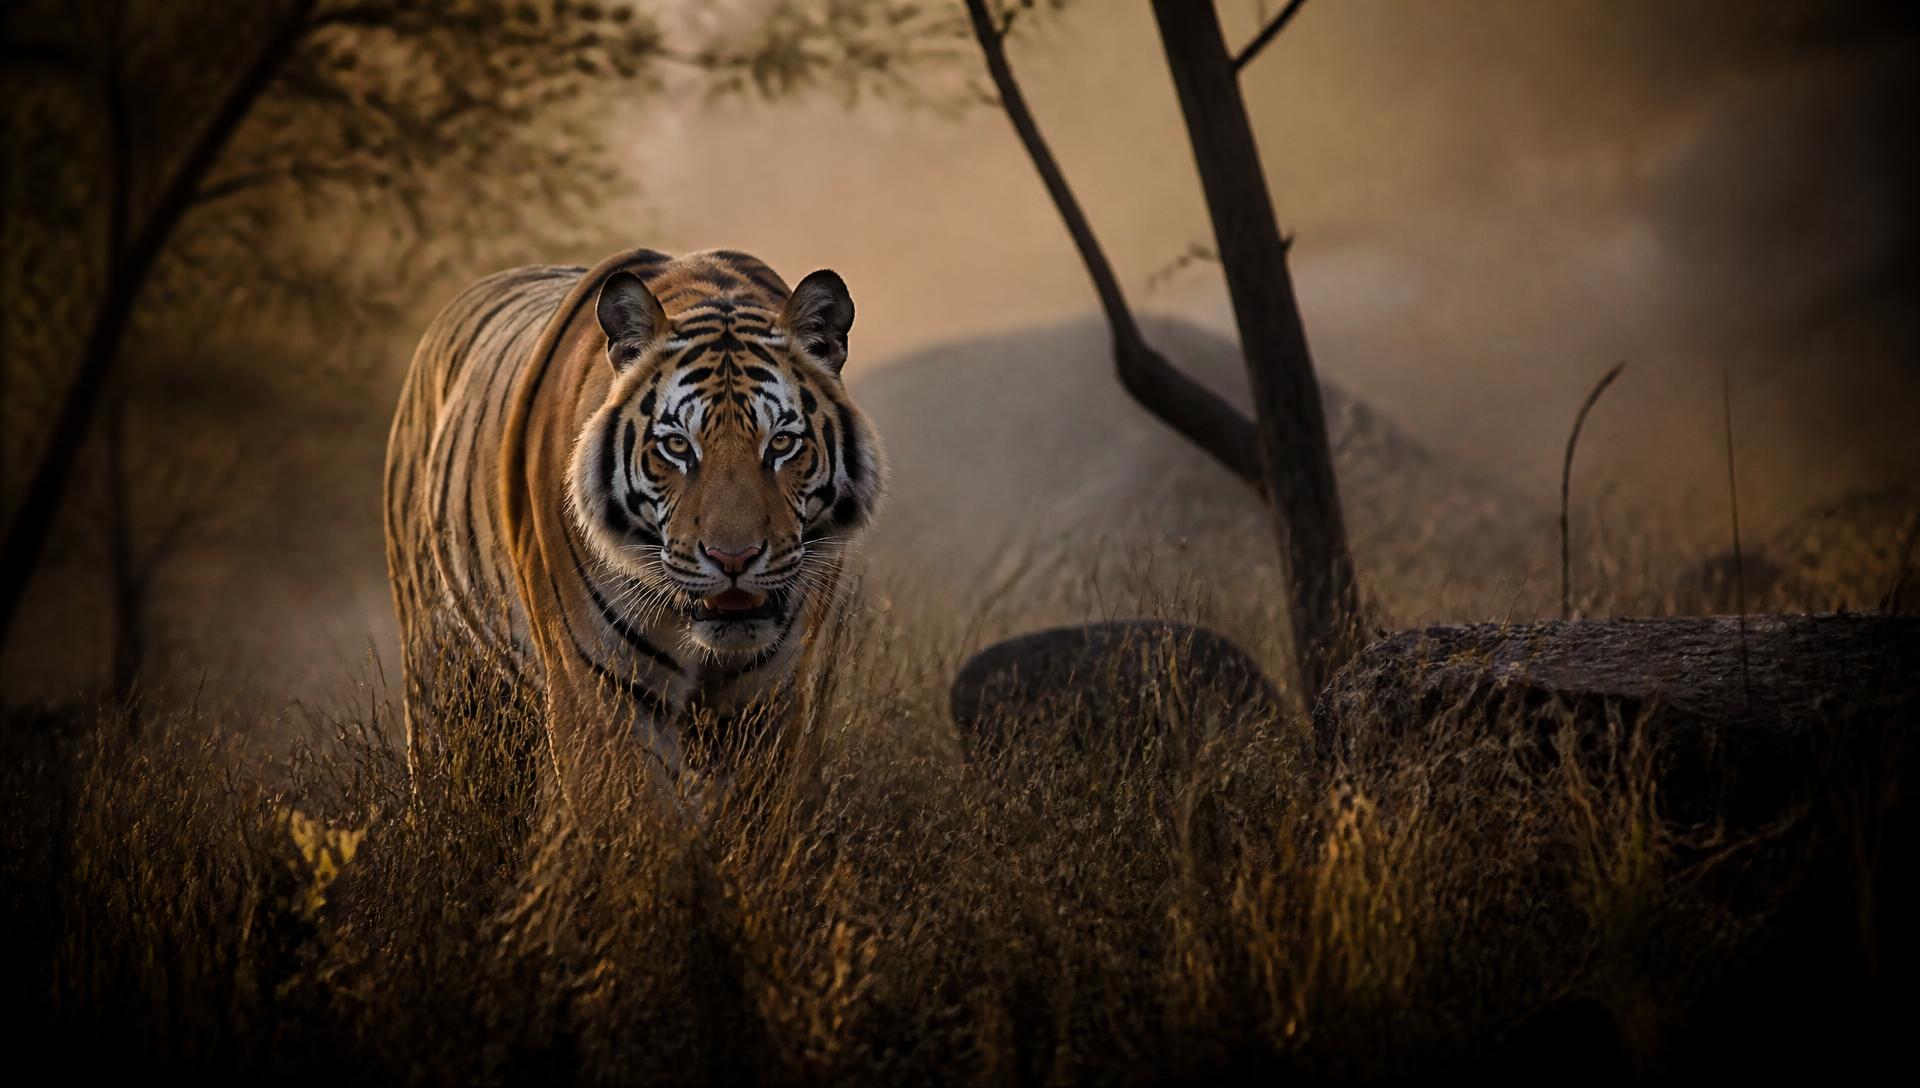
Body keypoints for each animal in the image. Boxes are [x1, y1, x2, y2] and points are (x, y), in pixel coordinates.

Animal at [384, 247, 886, 812]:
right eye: (677, 446)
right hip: (443, 666)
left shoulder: (769, 697)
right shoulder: (600, 688)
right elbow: (638, 817)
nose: (733, 560)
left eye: (781, 443)